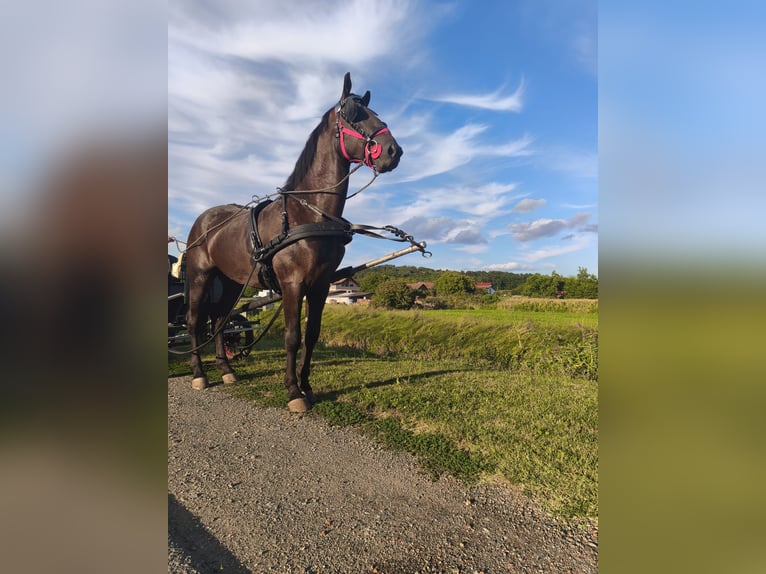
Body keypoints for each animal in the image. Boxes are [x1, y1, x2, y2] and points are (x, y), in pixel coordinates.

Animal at [183, 73, 403, 412]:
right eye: (353, 114)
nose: (393, 151)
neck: (308, 213)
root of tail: (204, 220)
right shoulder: (292, 283)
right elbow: (292, 336)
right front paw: (293, 391)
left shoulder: (321, 283)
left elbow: (311, 335)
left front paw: (307, 386)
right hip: (200, 275)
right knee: (195, 321)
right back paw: (199, 373)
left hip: (231, 281)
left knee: (220, 319)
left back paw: (226, 369)